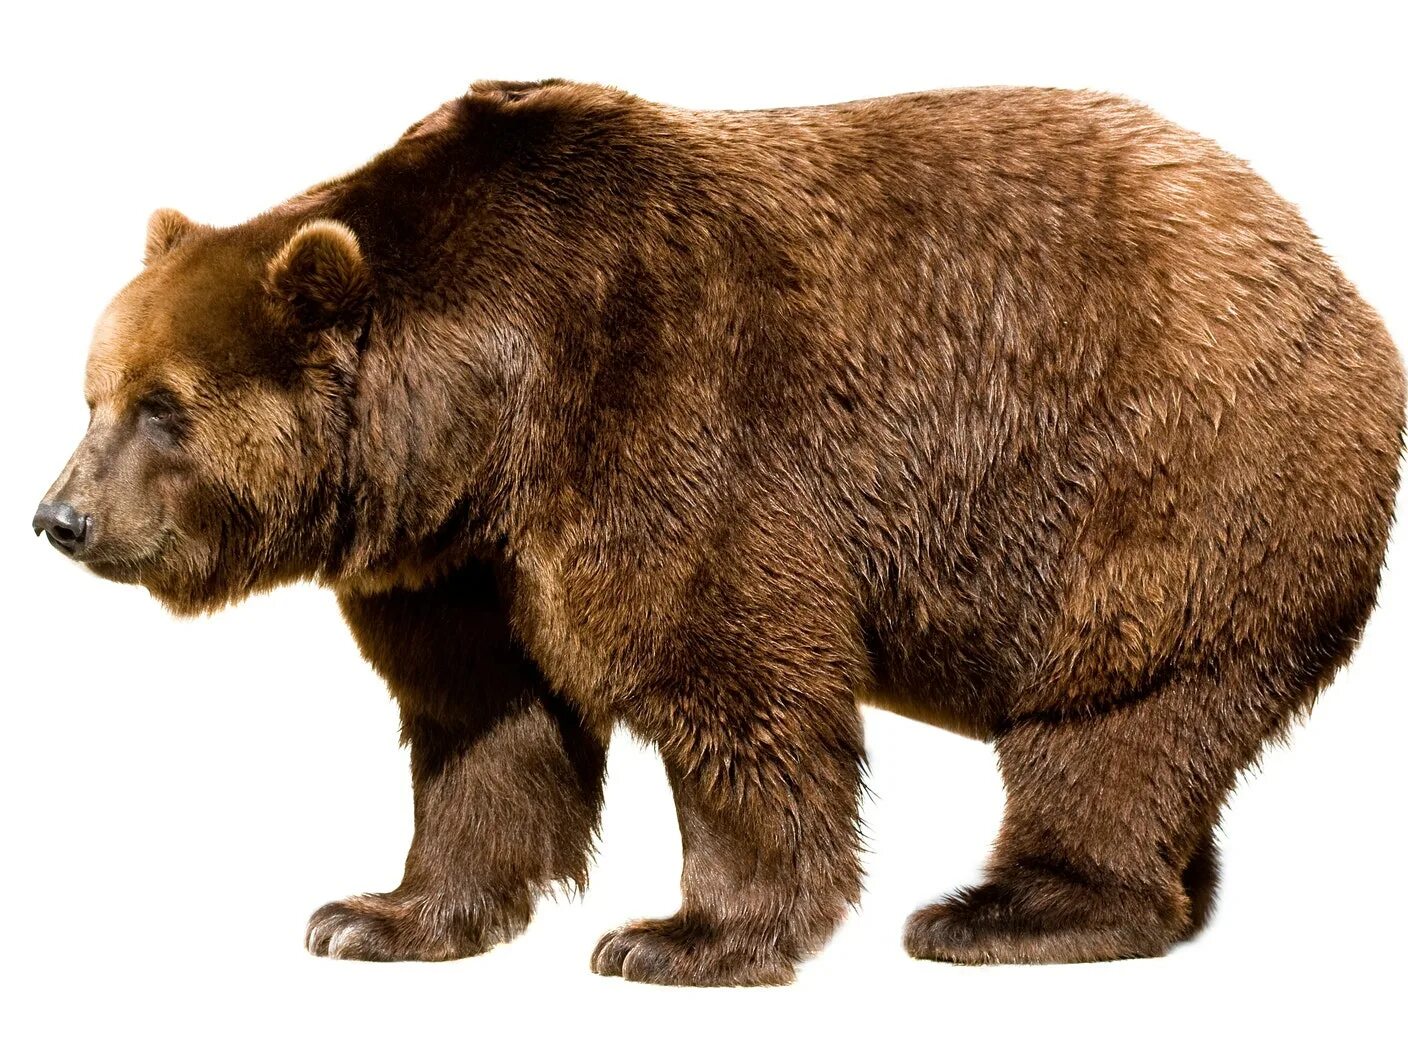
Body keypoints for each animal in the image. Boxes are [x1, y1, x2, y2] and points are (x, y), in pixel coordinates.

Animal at [34, 79, 1405, 986]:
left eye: (164, 408)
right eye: (93, 393)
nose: (60, 518)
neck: (484, 410)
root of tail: (1334, 279)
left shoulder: (666, 424)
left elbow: (727, 680)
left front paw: (679, 936)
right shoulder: (460, 560)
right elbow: (485, 729)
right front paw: (375, 915)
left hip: (1167, 496)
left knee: (1110, 728)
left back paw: (1007, 912)